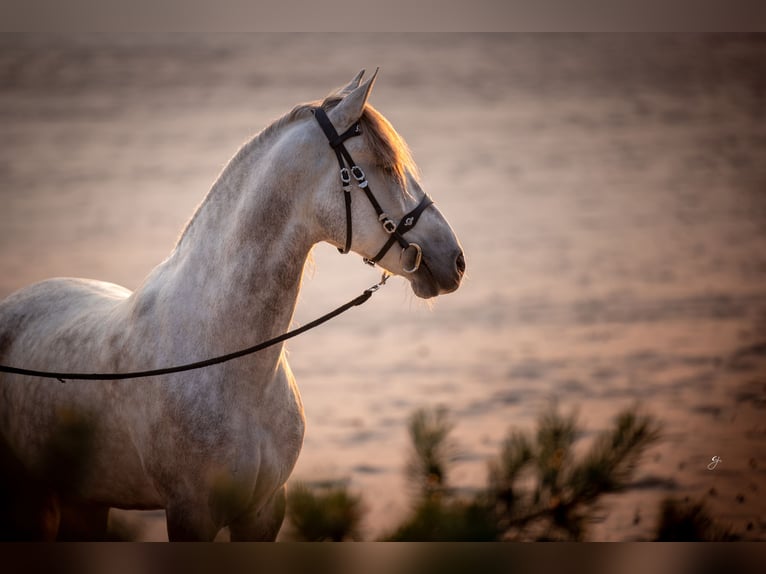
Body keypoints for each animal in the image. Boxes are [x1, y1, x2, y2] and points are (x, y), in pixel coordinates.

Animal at [0, 70, 468, 544]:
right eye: (386, 167)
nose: (455, 260)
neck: (228, 362)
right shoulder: (191, 513)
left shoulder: (263, 513)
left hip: (86, 502)